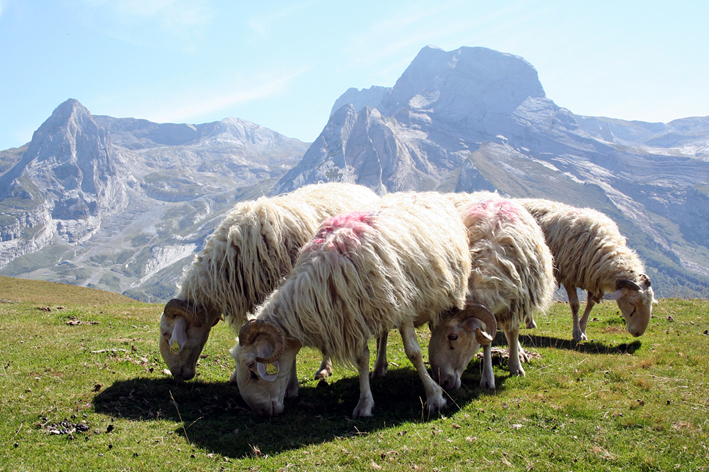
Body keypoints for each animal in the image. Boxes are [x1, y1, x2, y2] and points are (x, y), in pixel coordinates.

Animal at [231, 192, 476, 416]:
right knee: (383, 334)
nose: (260, 410)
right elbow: (361, 359)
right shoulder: (355, 317)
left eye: (252, 367)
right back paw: (379, 367)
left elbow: (414, 353)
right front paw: (365, 403)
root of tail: (423, 192)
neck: (321, 278)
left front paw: (435, 397)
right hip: (382, 305)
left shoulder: (403, 307)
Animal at [424, 195, 556, 390]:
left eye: (453, 336)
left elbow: (512, 331)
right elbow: (486, 341)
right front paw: (488, 378)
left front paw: (515, 367)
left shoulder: (515, 303)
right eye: (432, 329)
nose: (443, 382)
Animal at [516, 197, 652, 342]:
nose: (638, 332)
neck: (603, 248)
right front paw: (577, 333)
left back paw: (530, 321)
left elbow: (590, 304)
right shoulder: (568, 276)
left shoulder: (591, 277)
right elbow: (575, 305)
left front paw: (583, 329)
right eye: (632, 303)